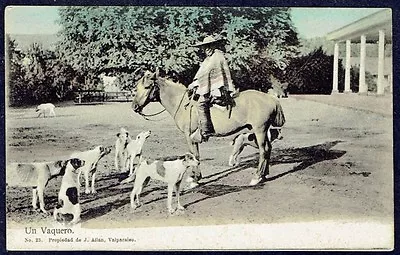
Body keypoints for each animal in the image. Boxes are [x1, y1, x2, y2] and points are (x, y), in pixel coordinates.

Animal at [131, 70, 284, 186]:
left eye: (147, 87)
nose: (134, 107)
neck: (183, 105)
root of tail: (272, 99)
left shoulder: (189, 136)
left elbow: (195, 155)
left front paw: (195, 179)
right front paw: (195, 177)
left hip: (260, 130)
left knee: (264, 151)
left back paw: (256, 178)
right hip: (262, 130)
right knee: (268, 149)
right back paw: (264, 175)